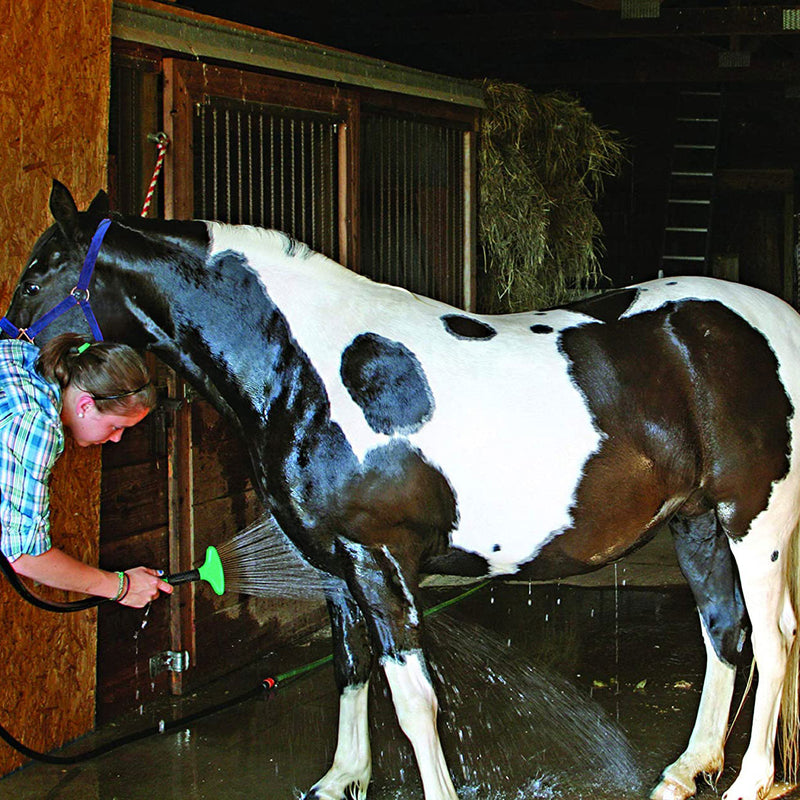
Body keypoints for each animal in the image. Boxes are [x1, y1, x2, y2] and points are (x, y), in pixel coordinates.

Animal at [6, 181, 800, 800]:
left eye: (38, 271)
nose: (12, 344)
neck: (306, 367)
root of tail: (775, 322)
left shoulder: (379, 560)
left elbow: (414, 701)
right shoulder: (335, 567)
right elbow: (351, 669)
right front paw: (342, 778)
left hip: (753, 520)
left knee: (773, 638)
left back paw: (751, 779)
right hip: (697, 520)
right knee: (723, 629)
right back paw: (687, 769)